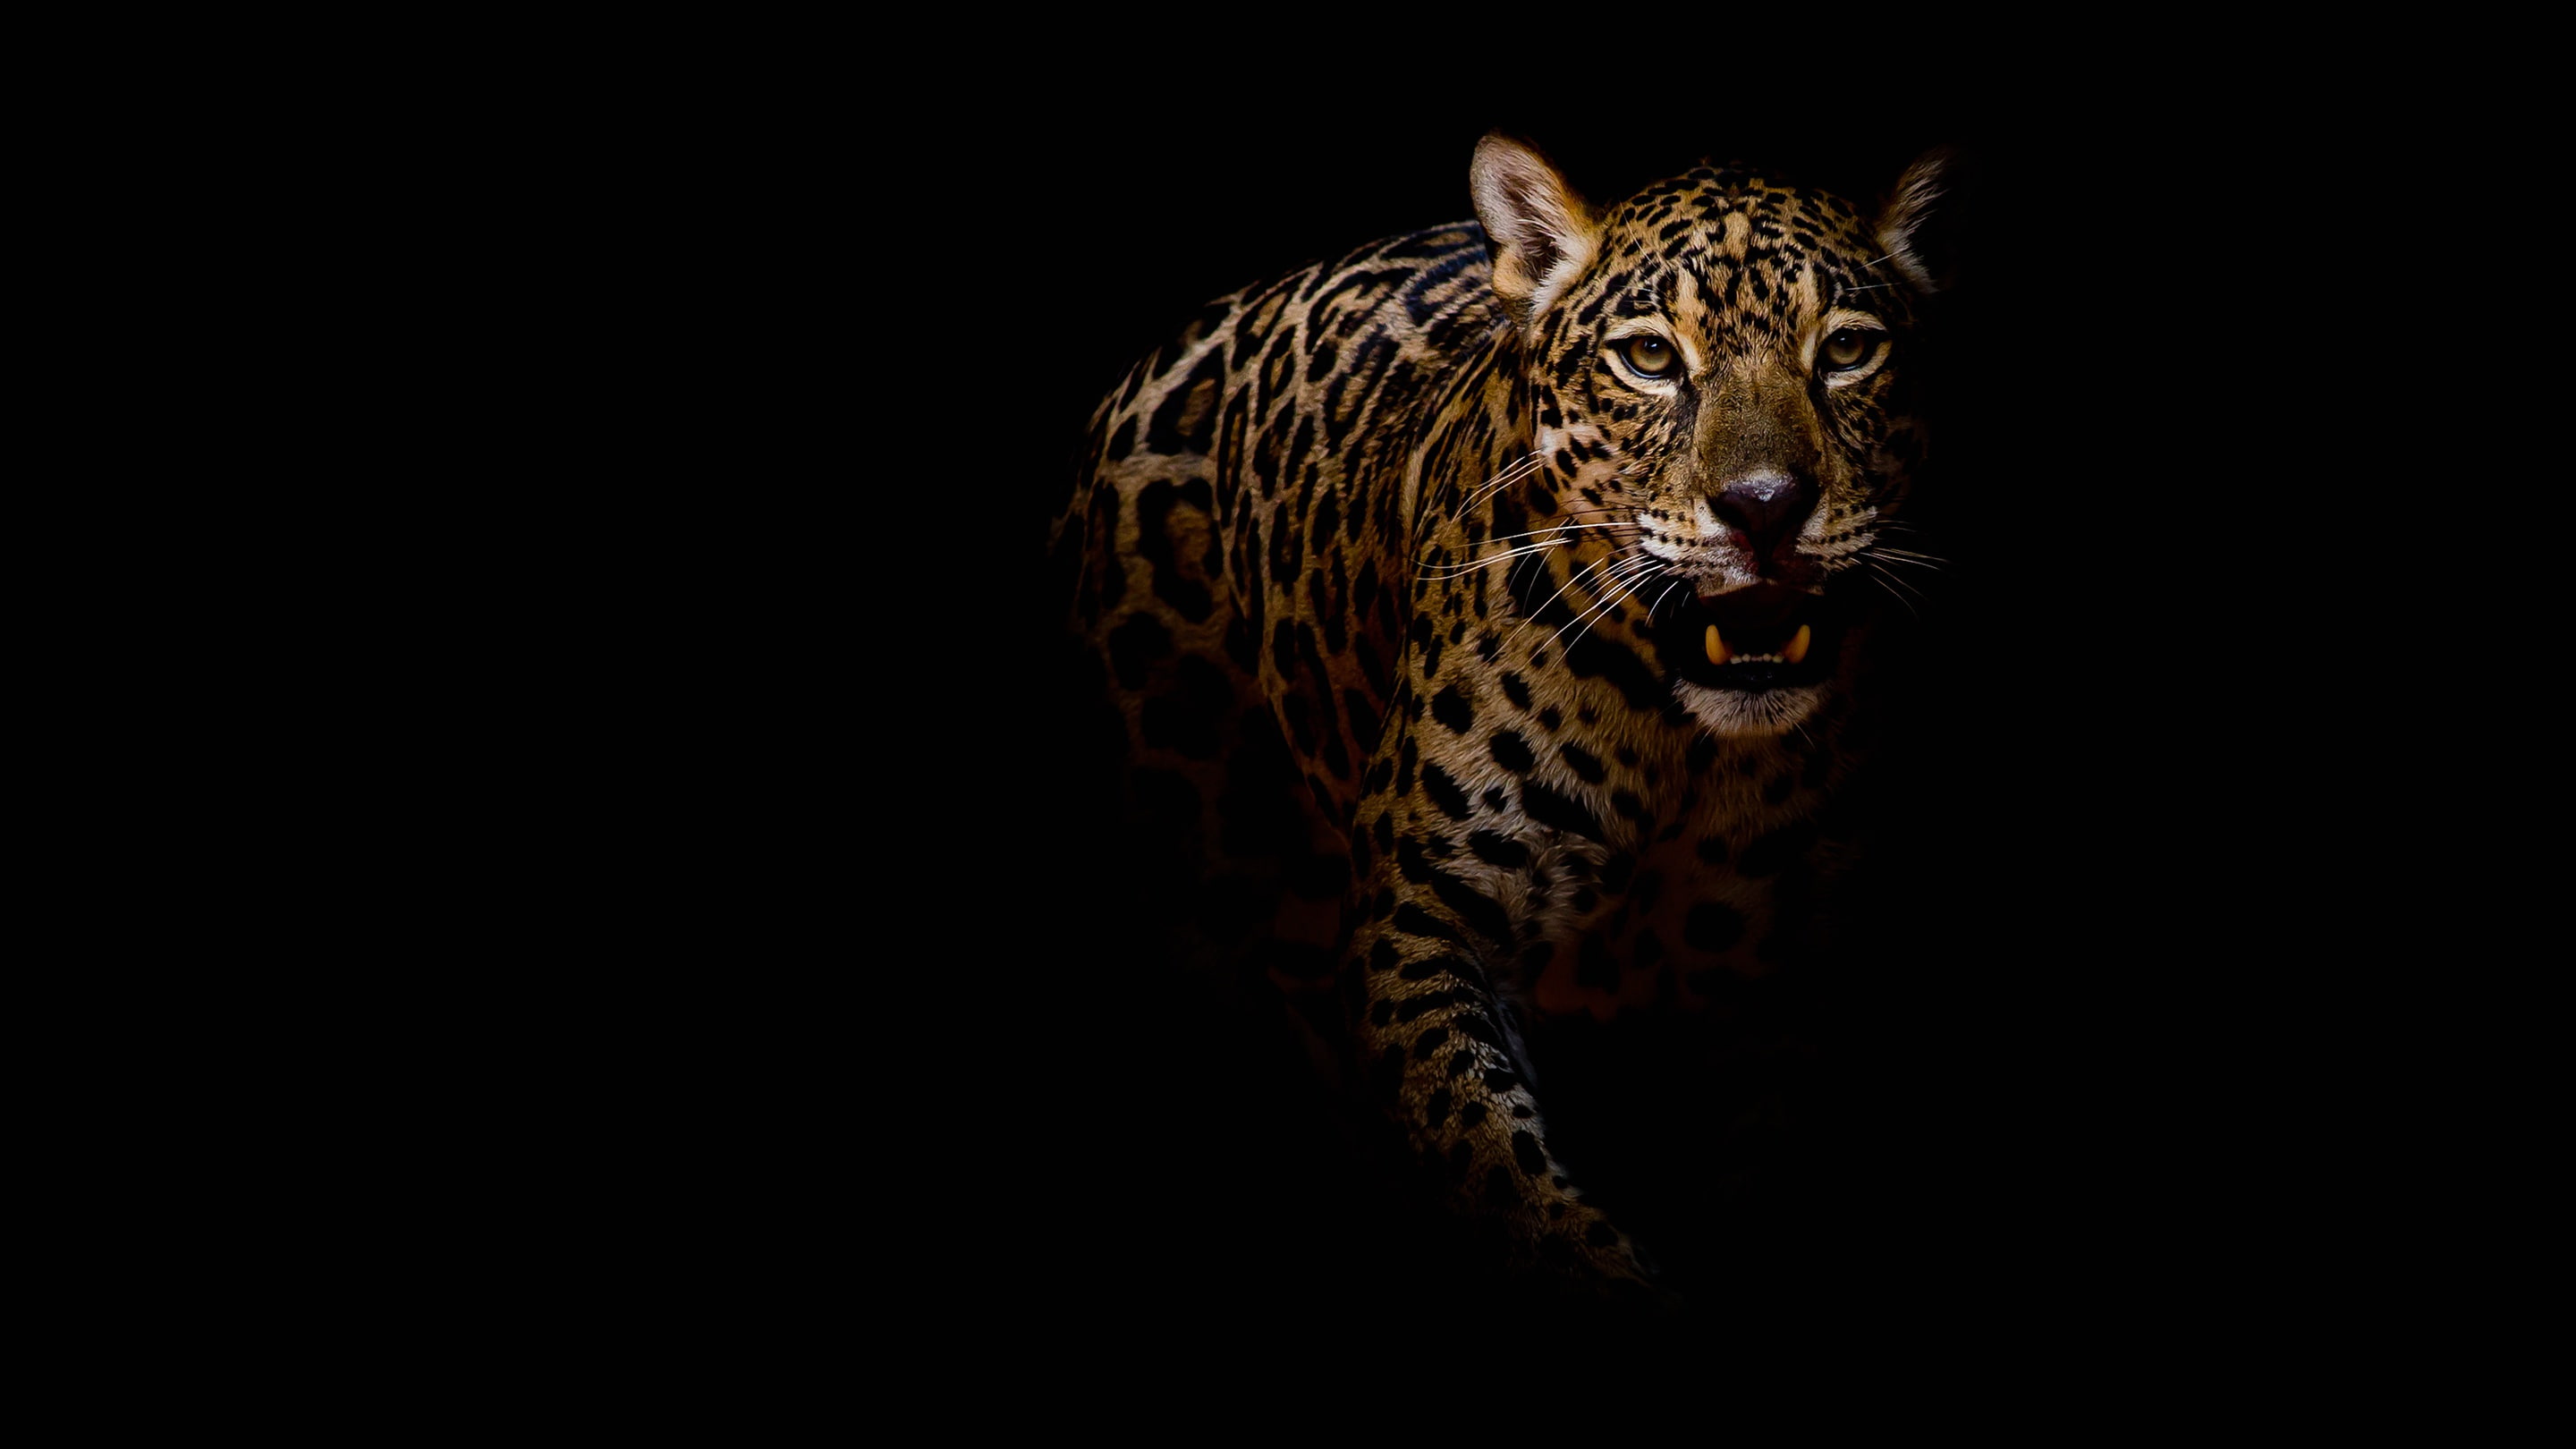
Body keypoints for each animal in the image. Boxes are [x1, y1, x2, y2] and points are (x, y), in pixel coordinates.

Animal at [1049, 134, 1955, 1306]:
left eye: (1846, 350)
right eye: (1650, 357)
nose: (1764, 508)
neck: (1681, 744)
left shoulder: (1796, 982)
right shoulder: (1426, 924)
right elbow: (1499, 1170)